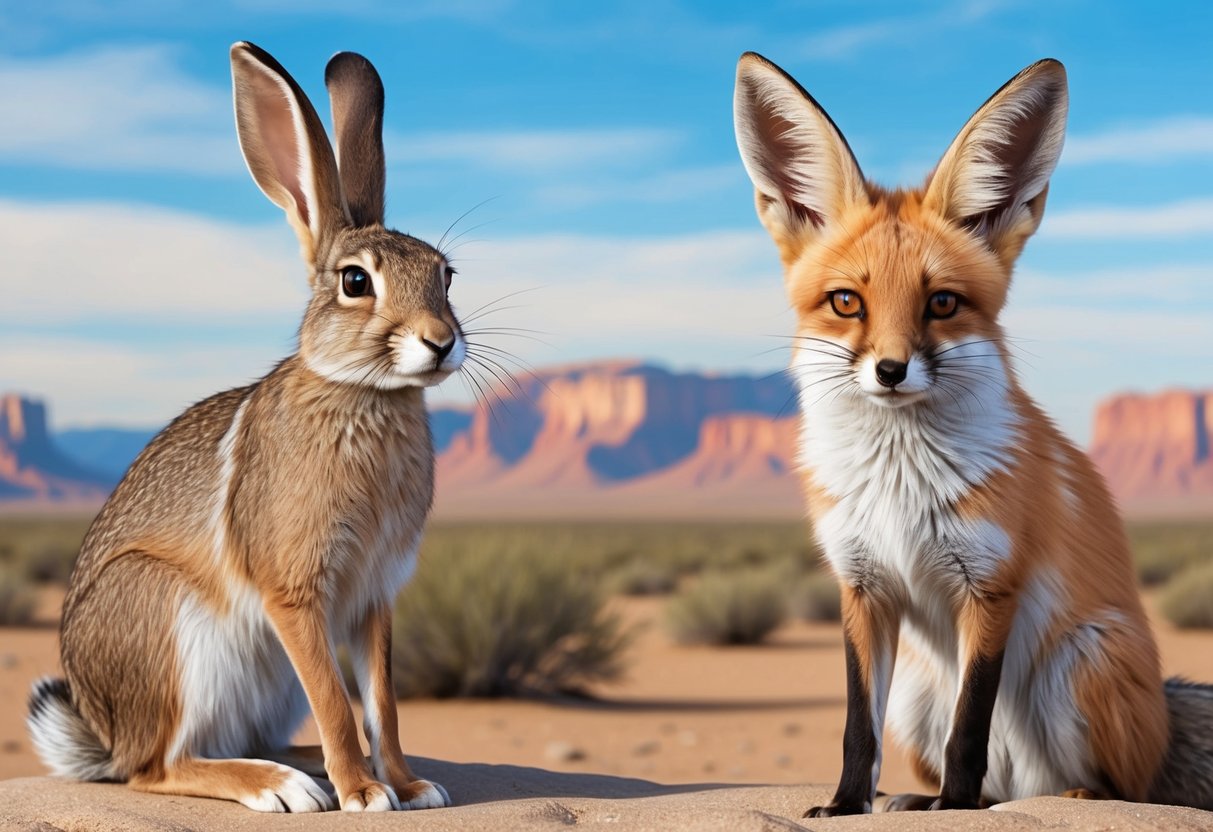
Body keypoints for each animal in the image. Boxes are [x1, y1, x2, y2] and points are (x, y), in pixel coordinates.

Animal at [727, 50, 1213, 815]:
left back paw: (1064, 795)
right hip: (917, 691)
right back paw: (928, 799)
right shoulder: (862, 586)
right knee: (994, 784)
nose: (890, 369)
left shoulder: (989, 586)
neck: (897, 485)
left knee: (1122, 786)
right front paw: (847, 804)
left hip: (1086, 655)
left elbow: (970, 726)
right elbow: (856, 729)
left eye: (943, 303)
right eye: (847, 302)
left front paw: (952, 807)